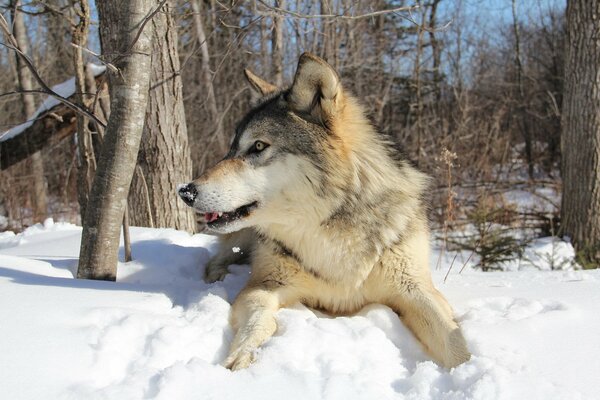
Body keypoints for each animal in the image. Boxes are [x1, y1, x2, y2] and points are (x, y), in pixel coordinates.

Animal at [178, 54, 474, 372]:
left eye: (257, 146)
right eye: (232, 148)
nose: (185, 191)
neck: (329, 229)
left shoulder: (417, 289)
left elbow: (455, 341)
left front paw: (469, 370)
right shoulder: (264, 285)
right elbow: (258, 321)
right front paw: (241, 356)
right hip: (242, 237)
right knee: (217, 259)